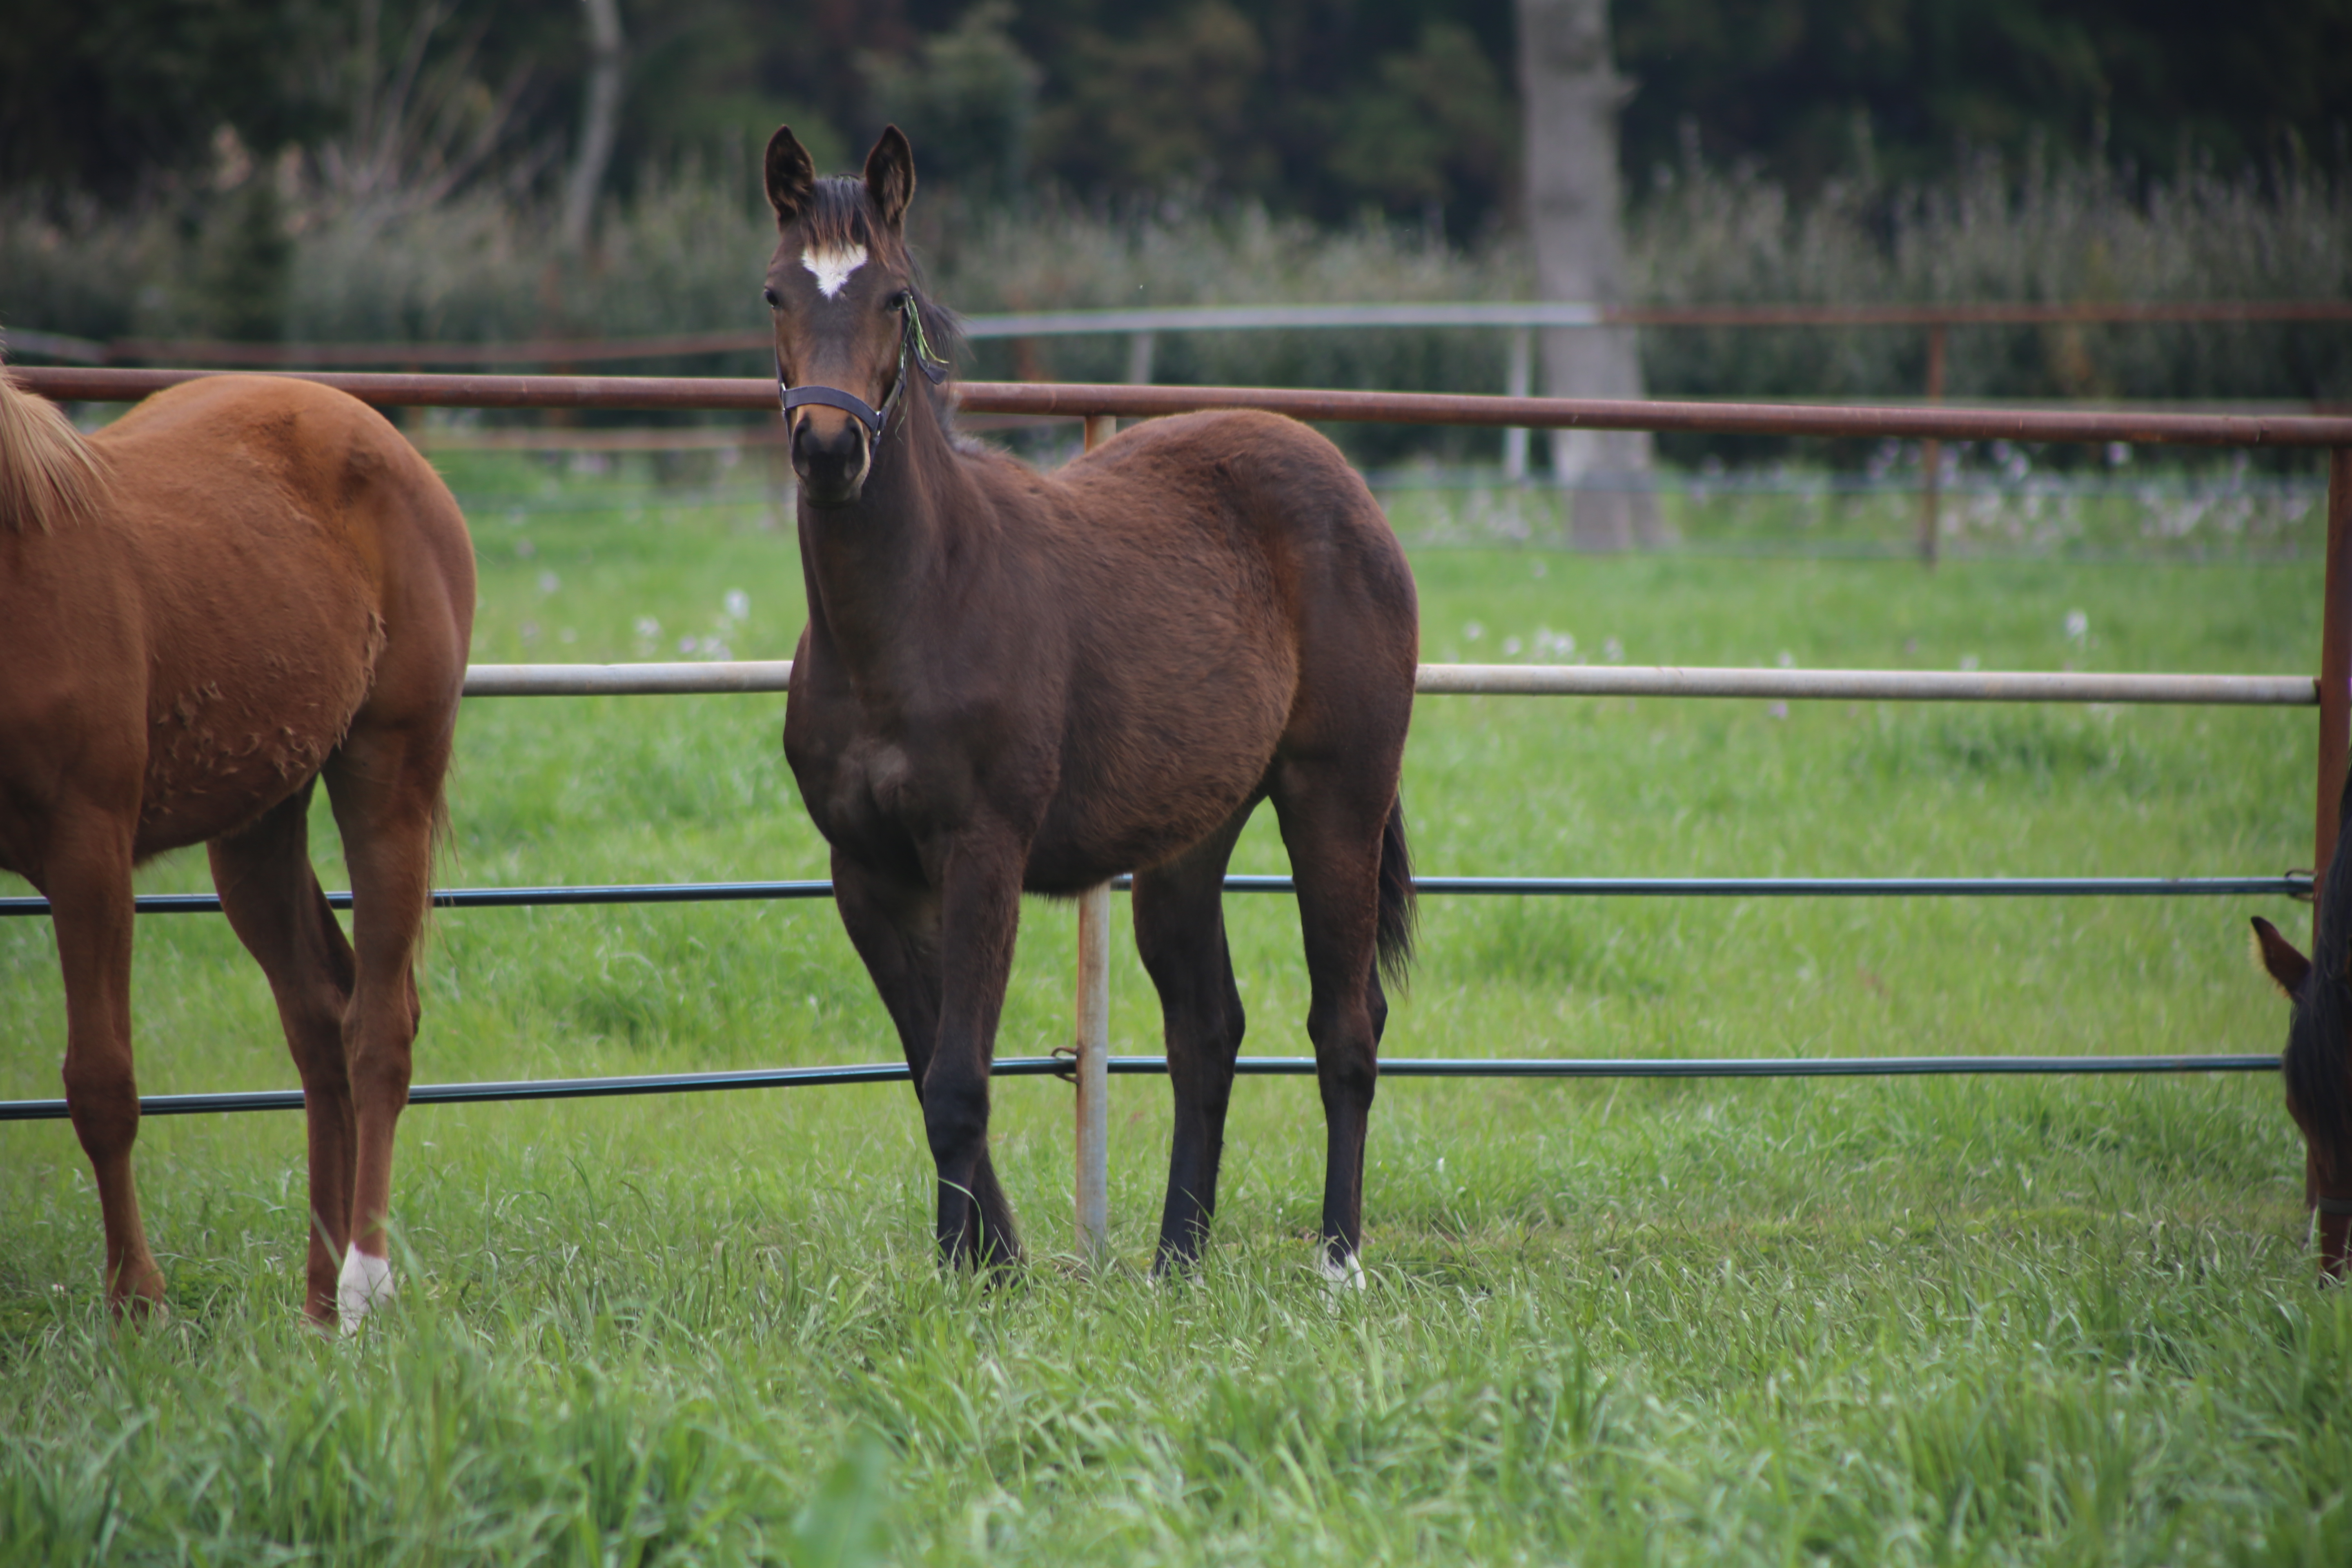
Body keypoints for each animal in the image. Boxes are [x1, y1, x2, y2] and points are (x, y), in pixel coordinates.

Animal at [0, 364, 477, 1326]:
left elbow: (102, 1083)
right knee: (321, 1017)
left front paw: (137, 1307)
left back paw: (364, 1286)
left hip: (388, 779)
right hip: (259, 820)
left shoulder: (87, 850)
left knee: (378, 1026)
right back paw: (319, 1303)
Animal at [762, 129, 1411, 1288]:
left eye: (892, 297)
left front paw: (975, 1279)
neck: (918, 608)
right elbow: (925, 1070)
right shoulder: (865, 875)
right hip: (1189, 839)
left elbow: (957, 1081)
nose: (829, 451)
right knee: (1207, 1027)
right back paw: (1176, 1262)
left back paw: (1338, 1261)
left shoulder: (982, 855)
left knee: (1346, 1023)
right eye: (775, 292)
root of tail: (1346, 486)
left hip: (1336, 800)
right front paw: (990, 1264)